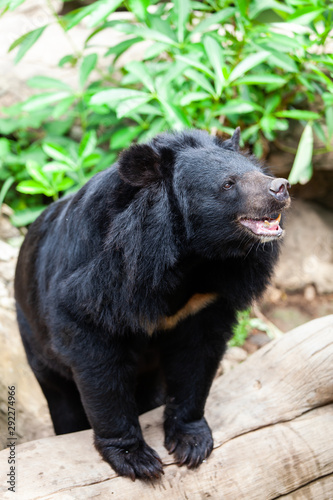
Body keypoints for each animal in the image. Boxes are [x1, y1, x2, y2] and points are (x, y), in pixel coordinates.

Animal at [14, 129, 288, 480]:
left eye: (259, 172)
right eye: (229, 183)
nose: (281, 187)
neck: (191, 257)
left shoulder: (207, 299)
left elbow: (196, 357)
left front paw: (191, 442)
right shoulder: (97, 282)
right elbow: (98, 363)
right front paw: (135, 458)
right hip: (34, 338)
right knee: (61, 396)